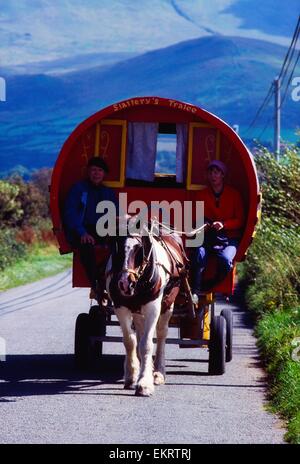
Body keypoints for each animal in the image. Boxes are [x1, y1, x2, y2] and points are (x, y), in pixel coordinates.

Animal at [104, 223, 186, 396]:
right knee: (140, 332)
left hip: (167, 304)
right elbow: (130, 341)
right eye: (115, 245)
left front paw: (145, 383)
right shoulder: (120, 307)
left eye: (139, 247)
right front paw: (132, 375)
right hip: (137, 310)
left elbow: (147, 344)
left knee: (161, 334)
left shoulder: (153, 307)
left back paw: (159, 372)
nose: (124, 283)